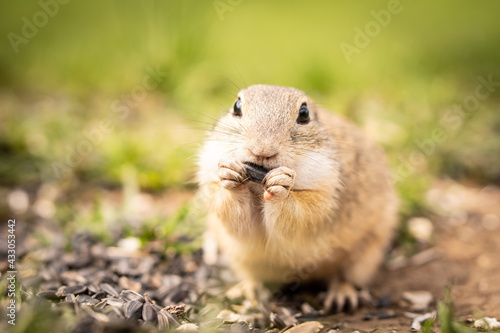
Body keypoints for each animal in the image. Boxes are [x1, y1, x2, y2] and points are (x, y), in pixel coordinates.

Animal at [195, 83, 398, 312]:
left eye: (304, 113)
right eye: (236, 106)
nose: (262, 150)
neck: (257, 186)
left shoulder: (324, 198)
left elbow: (300, 216)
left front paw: (281, 184)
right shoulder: (212, 186)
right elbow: (237, 218)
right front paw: (229, 174)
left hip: (366, 254)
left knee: (345, 276)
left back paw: (341, 295)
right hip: (238, 257)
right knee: (251, 275)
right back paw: (246, 290)